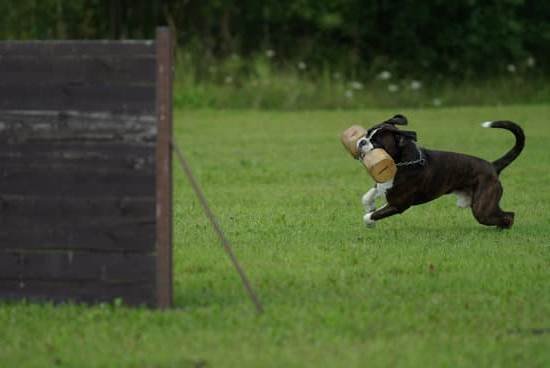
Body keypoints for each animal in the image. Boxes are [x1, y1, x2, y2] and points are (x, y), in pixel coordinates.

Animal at [360, 115, 528, 229]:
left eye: (376, 142)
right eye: (367, 133)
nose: (362, 141)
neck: (401, 162)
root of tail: (492, 166)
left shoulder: (398, 204)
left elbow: (370, 216)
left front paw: (370, 221)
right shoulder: (383, 184)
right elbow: (367, 197)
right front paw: (370, 206)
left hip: (482, 210)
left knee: (509, 215)